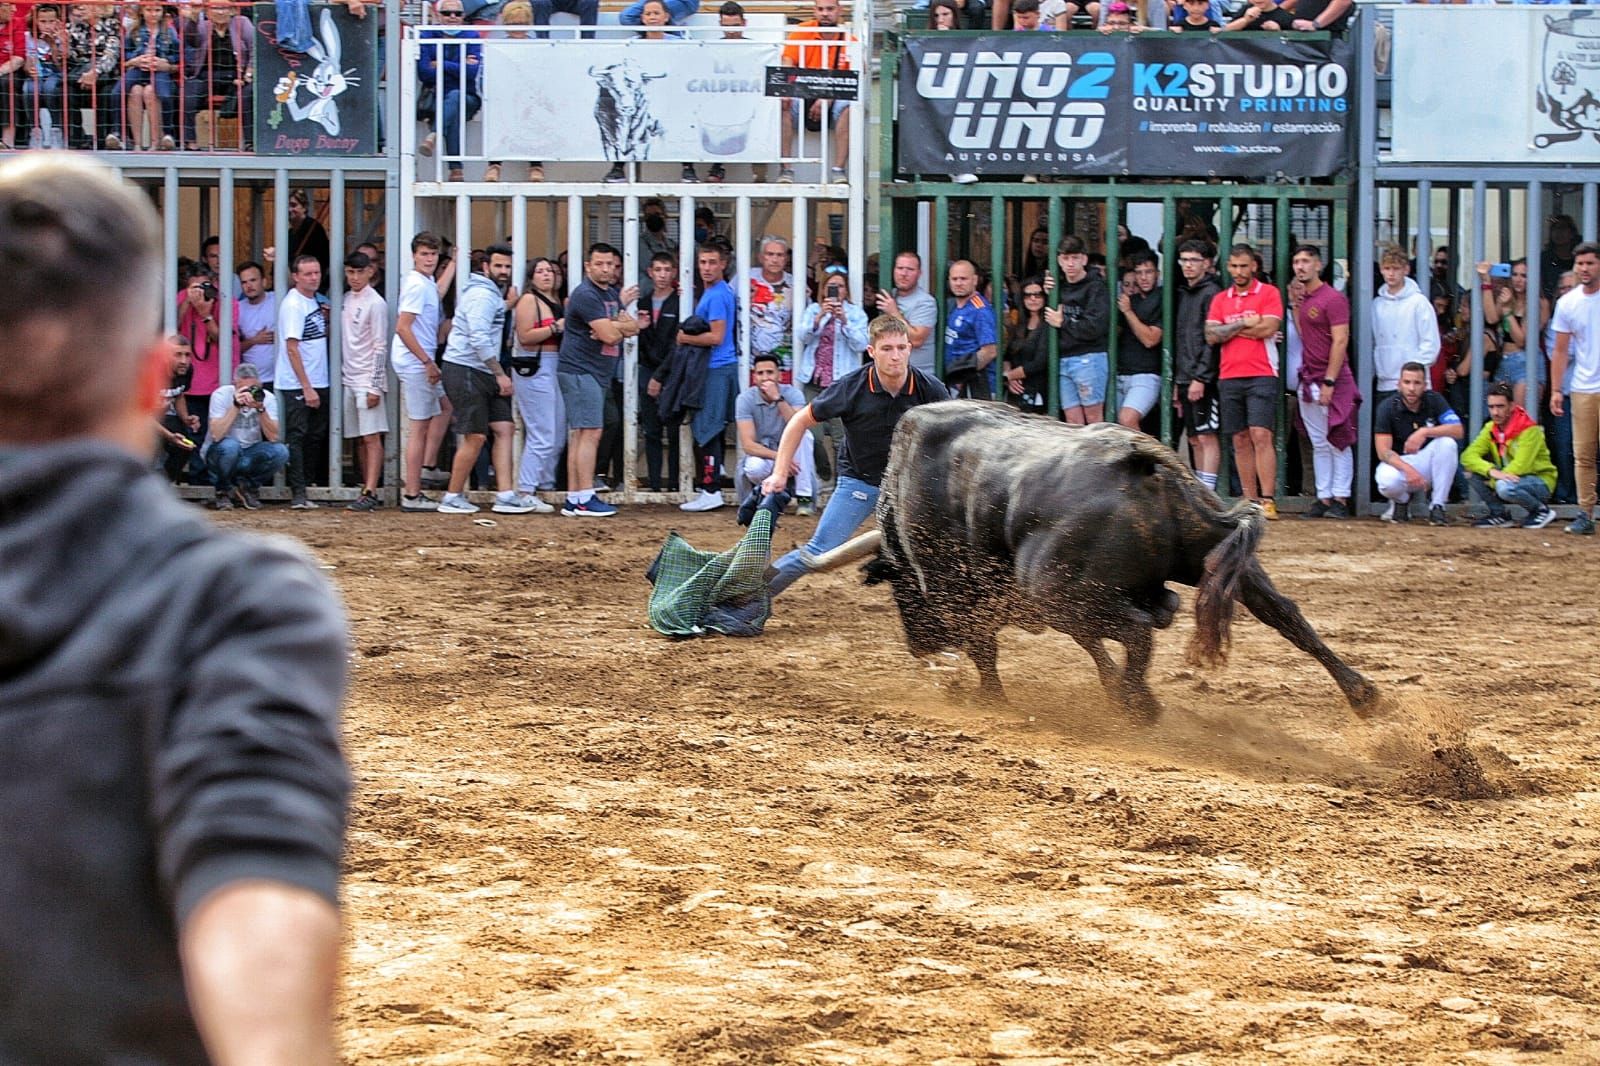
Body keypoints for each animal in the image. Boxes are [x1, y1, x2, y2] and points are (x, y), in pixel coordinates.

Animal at [806, 403, 1382, 717]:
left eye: (897, 586)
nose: (919, 646)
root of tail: (1144, 463)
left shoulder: (964, 596)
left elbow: (987, 651)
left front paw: (992, 700)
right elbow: (1094, 648)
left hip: (1054, 590)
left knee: (1136, 632)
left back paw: (1141, 705)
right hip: (1206, 560)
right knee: (1285, 613)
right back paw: (1363, 693)